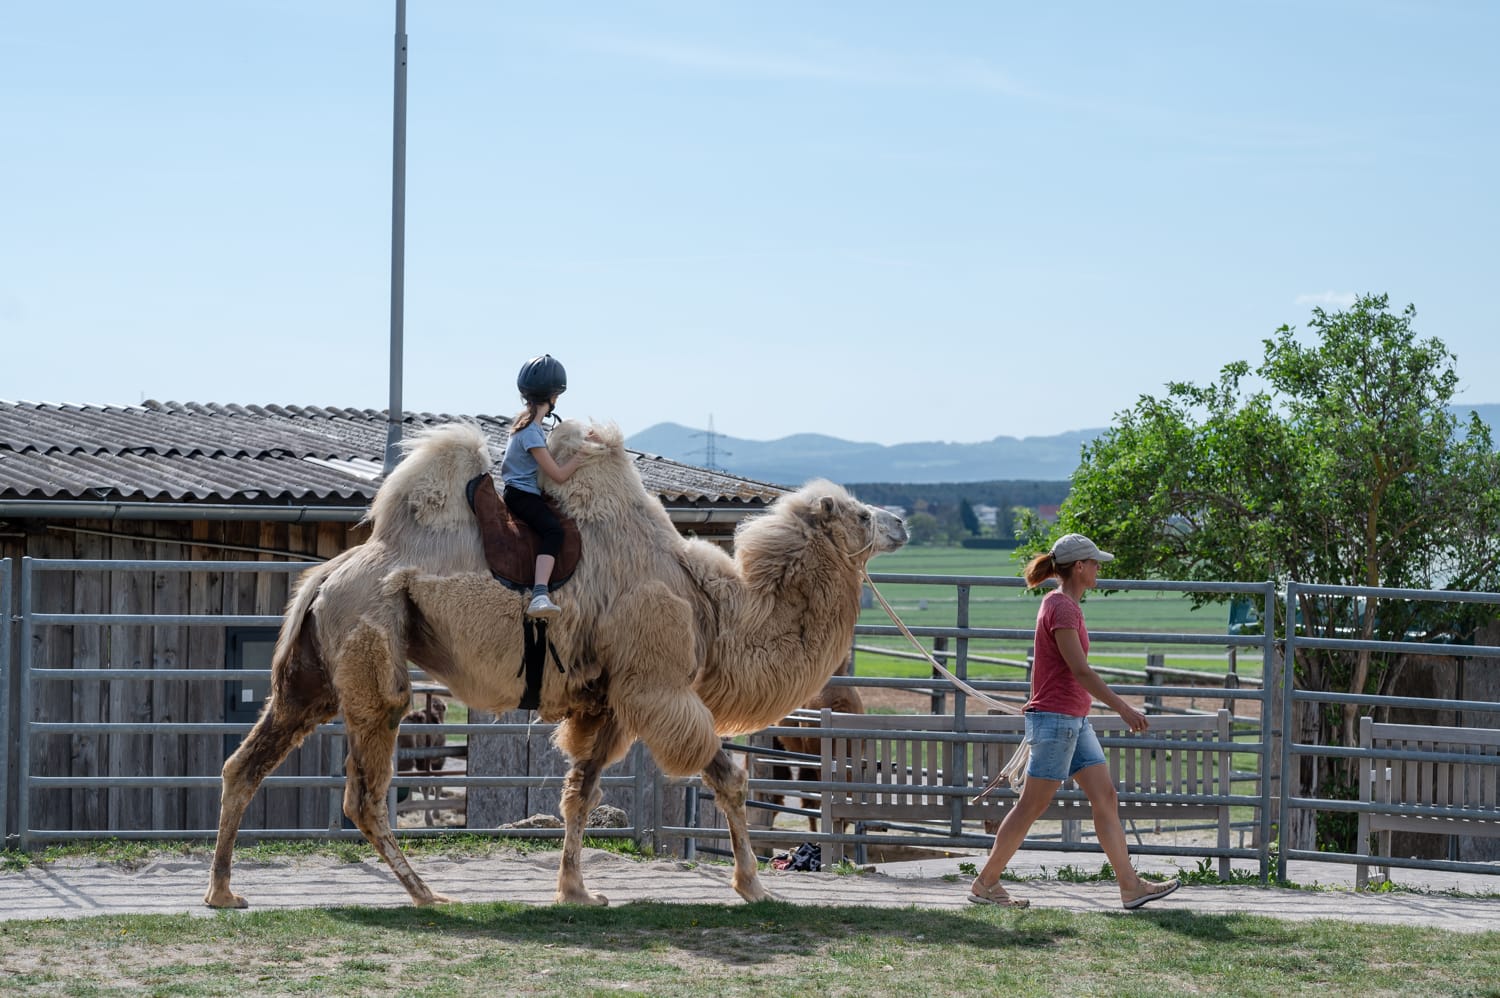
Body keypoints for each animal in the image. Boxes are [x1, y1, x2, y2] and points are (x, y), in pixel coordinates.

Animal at [199, 417, 900, 906]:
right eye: (860, 514)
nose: (900, 522)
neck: (710, 606)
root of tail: (322, 576)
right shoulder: (658, 687)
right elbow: (728, 777)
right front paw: (753, 886)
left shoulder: (608, 702)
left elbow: (578, 796)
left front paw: (576, 891)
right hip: (373, 644)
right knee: (365, 791)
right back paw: (428, 894)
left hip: (314, 671)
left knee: (244, 762)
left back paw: (223, 891)